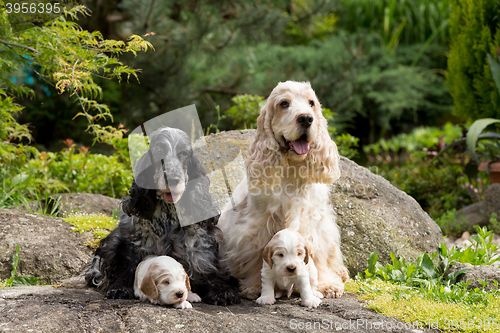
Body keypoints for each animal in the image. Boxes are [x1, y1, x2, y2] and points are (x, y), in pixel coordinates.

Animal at [85, 126, 241, 304]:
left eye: (184, 154)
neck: (169, 213)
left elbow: (208, 263)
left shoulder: (202, 240)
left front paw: (222, 291)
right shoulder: (131, 240)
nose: (172, 179)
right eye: (159, 151)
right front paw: (120, 288)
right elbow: (127, 263)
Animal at [219, 80, 348, 298]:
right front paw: (256, 286)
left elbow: (318, 255)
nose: (306, 118)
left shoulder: (316, 225)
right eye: (284, 104)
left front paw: (327, 285)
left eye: (311, 103)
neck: (292, 171)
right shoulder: (259, 226)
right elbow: (259, 254)